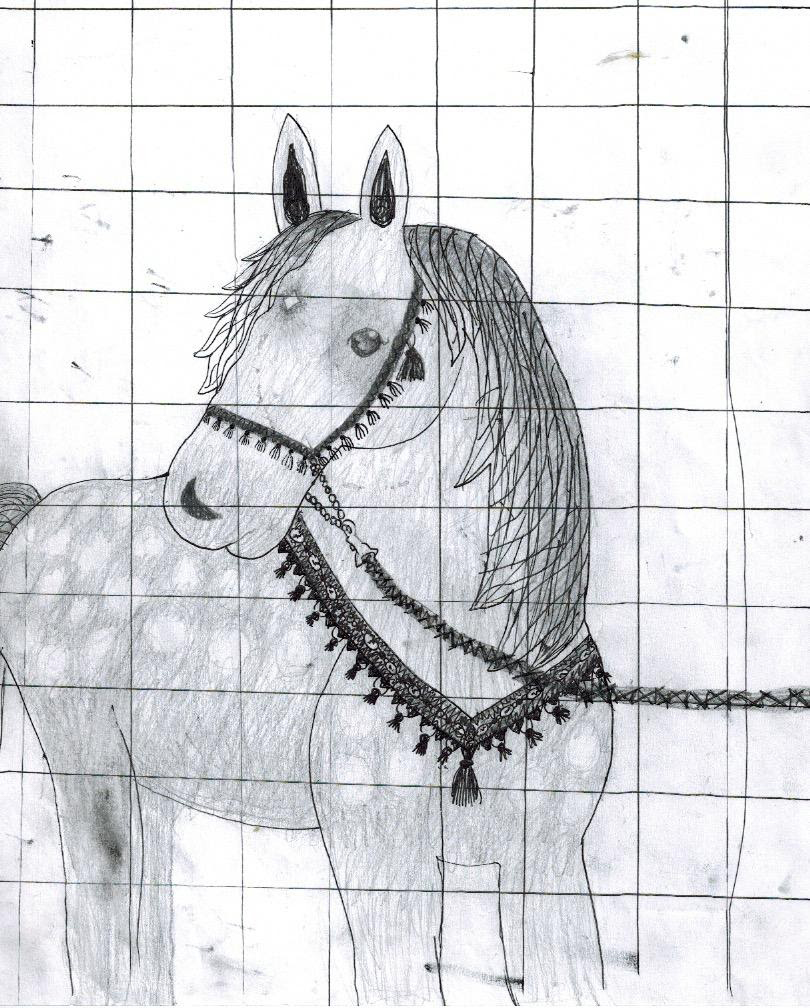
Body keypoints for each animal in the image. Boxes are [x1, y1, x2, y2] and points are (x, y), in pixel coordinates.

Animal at [0, 116, 614, 1004]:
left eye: (364, 341)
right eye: (245, 324)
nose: (200, 495)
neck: (483, 655)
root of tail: (39, 512)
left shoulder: (555, 874)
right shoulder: (384, 883)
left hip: (147, 785)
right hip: (91, 775)